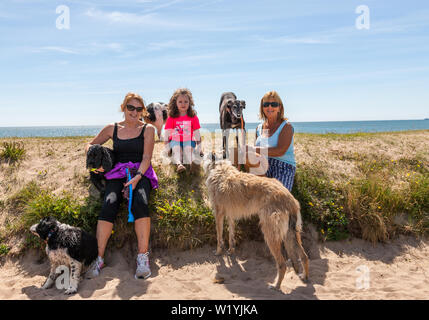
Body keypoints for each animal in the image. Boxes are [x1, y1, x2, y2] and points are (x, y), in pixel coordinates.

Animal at [203, 154, 308, 290]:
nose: (199, 153)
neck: (220, 168)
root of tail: (290, 199)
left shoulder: (218, 214)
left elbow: (219, 237)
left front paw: (218, 252)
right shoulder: (230, 215)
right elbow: (231, 236)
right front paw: (231, 251)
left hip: (270, 235)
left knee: (282, 264)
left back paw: (276, 286)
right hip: (292, 235)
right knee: (304, 256)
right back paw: (304, 277)